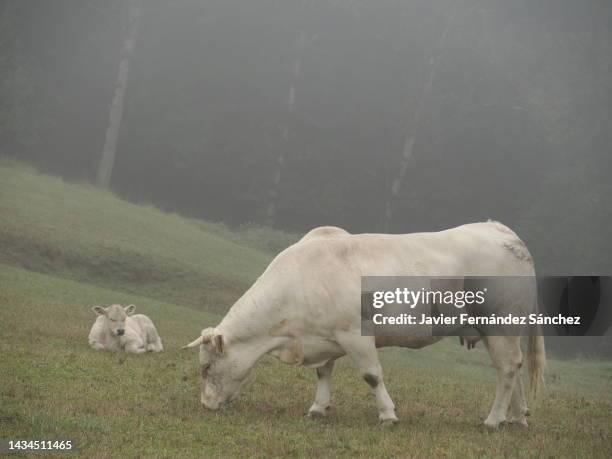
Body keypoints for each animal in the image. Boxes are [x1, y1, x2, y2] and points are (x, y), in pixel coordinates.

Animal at [183, 224, 544, 432]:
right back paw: (517, 417)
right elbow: (323, 372)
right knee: (513, 368)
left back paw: (494, 420)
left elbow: (371, 375)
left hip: (499, 324)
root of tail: (501, 230)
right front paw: (318, 408)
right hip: (501, 329)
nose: (205, 405)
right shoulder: (325, 336)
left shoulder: (354, 334)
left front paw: (388, 415)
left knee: (507, 368)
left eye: (205, 367)